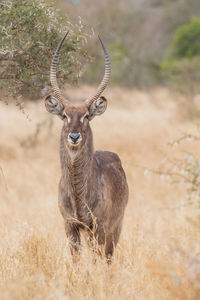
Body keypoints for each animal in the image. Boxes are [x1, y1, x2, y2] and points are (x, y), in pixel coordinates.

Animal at [44, 32, 128, 258]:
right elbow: (76, 259)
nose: (74, 137)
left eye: (87, 116)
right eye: (65, 115)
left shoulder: (98, 226)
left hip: (114, 228)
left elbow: (97, 258)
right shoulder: (70, 225)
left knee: (108, 256)